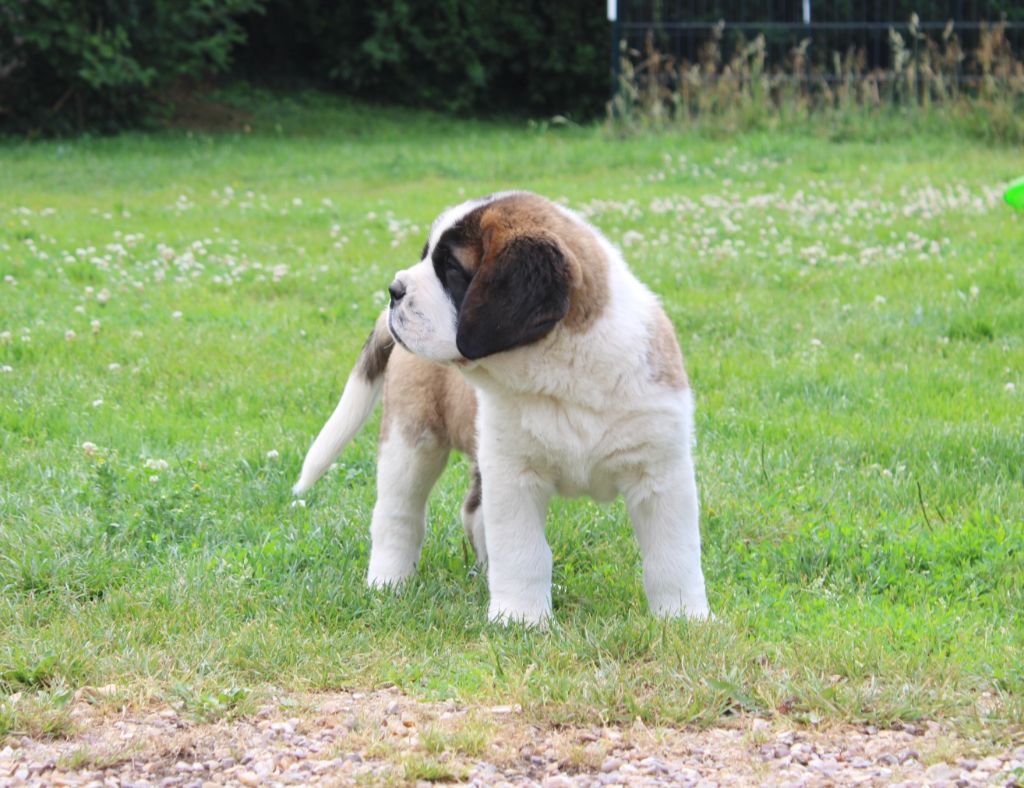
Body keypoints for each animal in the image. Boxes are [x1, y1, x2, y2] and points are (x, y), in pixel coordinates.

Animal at [293, 191, 710, 625]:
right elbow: (523, 550)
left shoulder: (660, 471)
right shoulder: (514, 474)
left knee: (473, 510)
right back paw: (388, 583)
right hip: (411, 439)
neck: (563, 370)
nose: (394, 290)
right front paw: (521, 619)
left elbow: (673, 555)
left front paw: (683, 618)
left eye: (451, 269)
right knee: (398, 514)